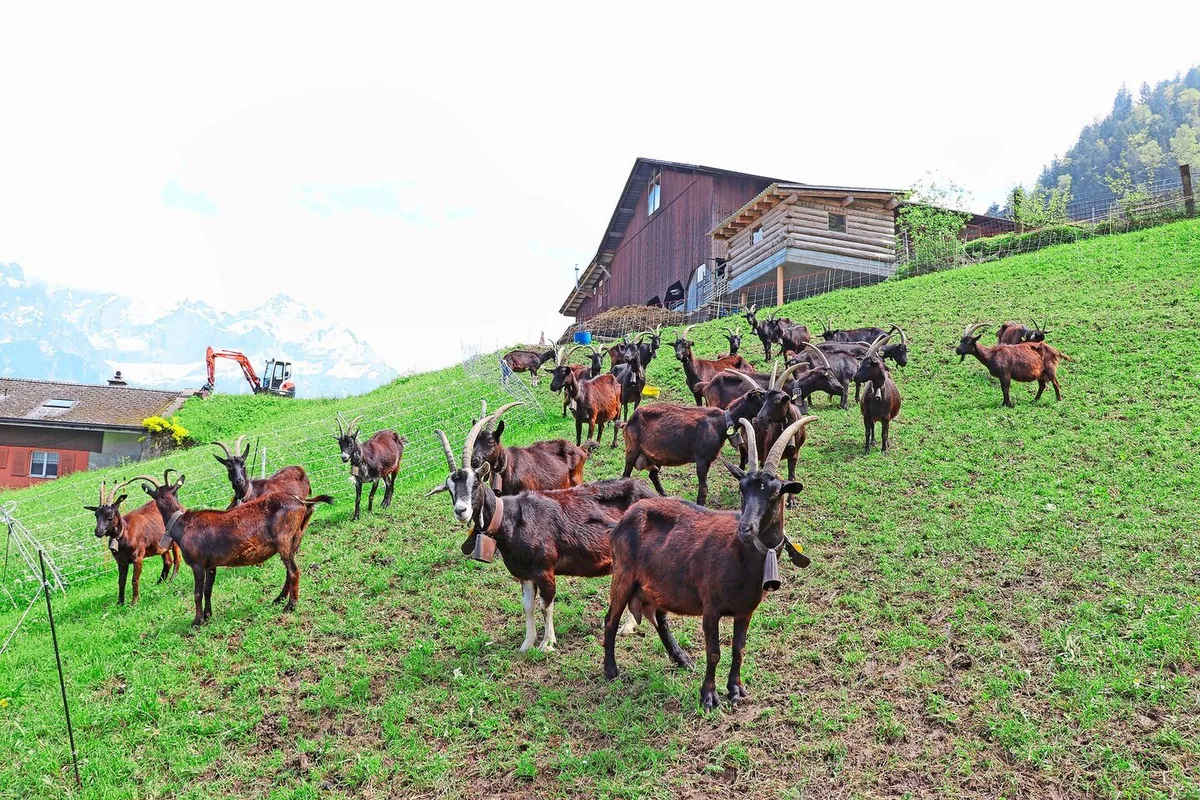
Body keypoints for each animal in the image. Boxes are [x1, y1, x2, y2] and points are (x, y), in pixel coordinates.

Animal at [135, 470, 332, 625]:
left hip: (284, 539)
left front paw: (197, 621)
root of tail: (301, 502)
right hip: (294, 539)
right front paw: (208, 615)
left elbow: (197, 592)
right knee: (290, 570)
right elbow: (208, 590)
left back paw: (290, 605)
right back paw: (278, 599)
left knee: (293, 571)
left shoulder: (197, 564)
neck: (183, 524)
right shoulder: (211, 564)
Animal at [427, 418, 655, 652]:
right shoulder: (524, 574)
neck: (512, 519)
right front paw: (526, 644)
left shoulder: (545, 570)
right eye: (450, 489)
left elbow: (546, 606)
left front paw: (547, 643)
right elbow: (528, 606)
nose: (461, 510)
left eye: (475, 482)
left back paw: (627, 626)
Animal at [603, 415, 816, 711]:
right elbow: (714, 652)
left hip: (657, 583)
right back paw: (611, 671)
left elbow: (739, 648)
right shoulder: (711, 607)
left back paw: (681, 658)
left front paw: (736, 690)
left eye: (775, 493)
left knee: (659, 618)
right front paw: (709, 696)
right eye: (742, 488)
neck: (739, 555)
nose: (745, 529)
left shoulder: (745, 610)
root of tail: (623, 520)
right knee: (611, 619)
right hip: (623, 574)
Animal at [621, 386, 765, 506]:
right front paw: (699, 505)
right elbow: (704, 487)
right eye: (762, 397)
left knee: (653, 475)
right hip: (632, 448)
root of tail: (629, 420)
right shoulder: (701, 459)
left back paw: (665, 497)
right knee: (626, 475)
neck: (722, 422)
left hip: (657, 455)